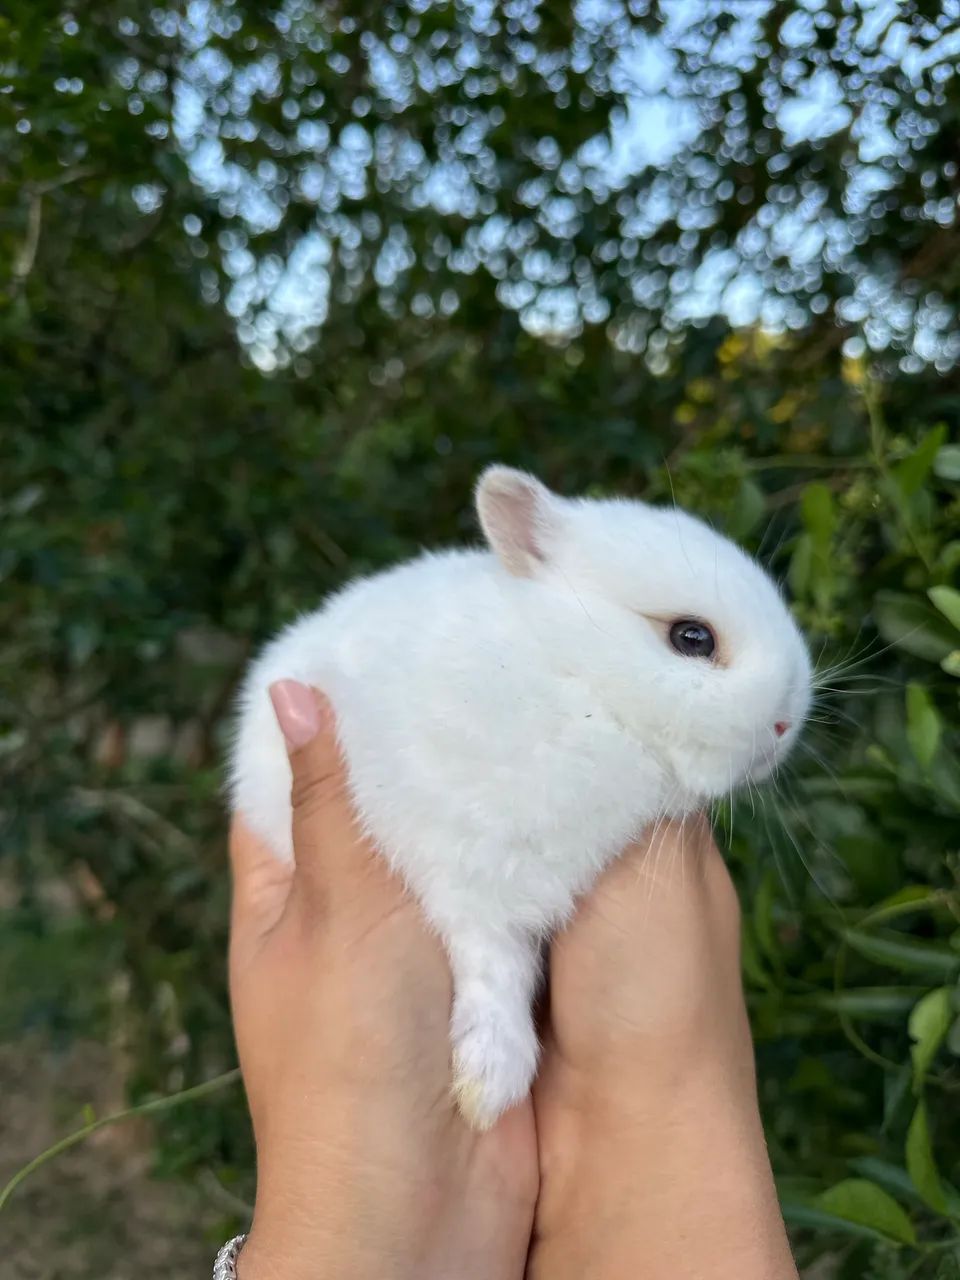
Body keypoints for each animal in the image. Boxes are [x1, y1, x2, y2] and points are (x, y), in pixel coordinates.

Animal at [230, 465, 811, 1129]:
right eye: (692, 638)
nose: (786, 725)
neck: (577, 682)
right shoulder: (465, 873)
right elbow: (491, 970)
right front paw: (489, 1086)